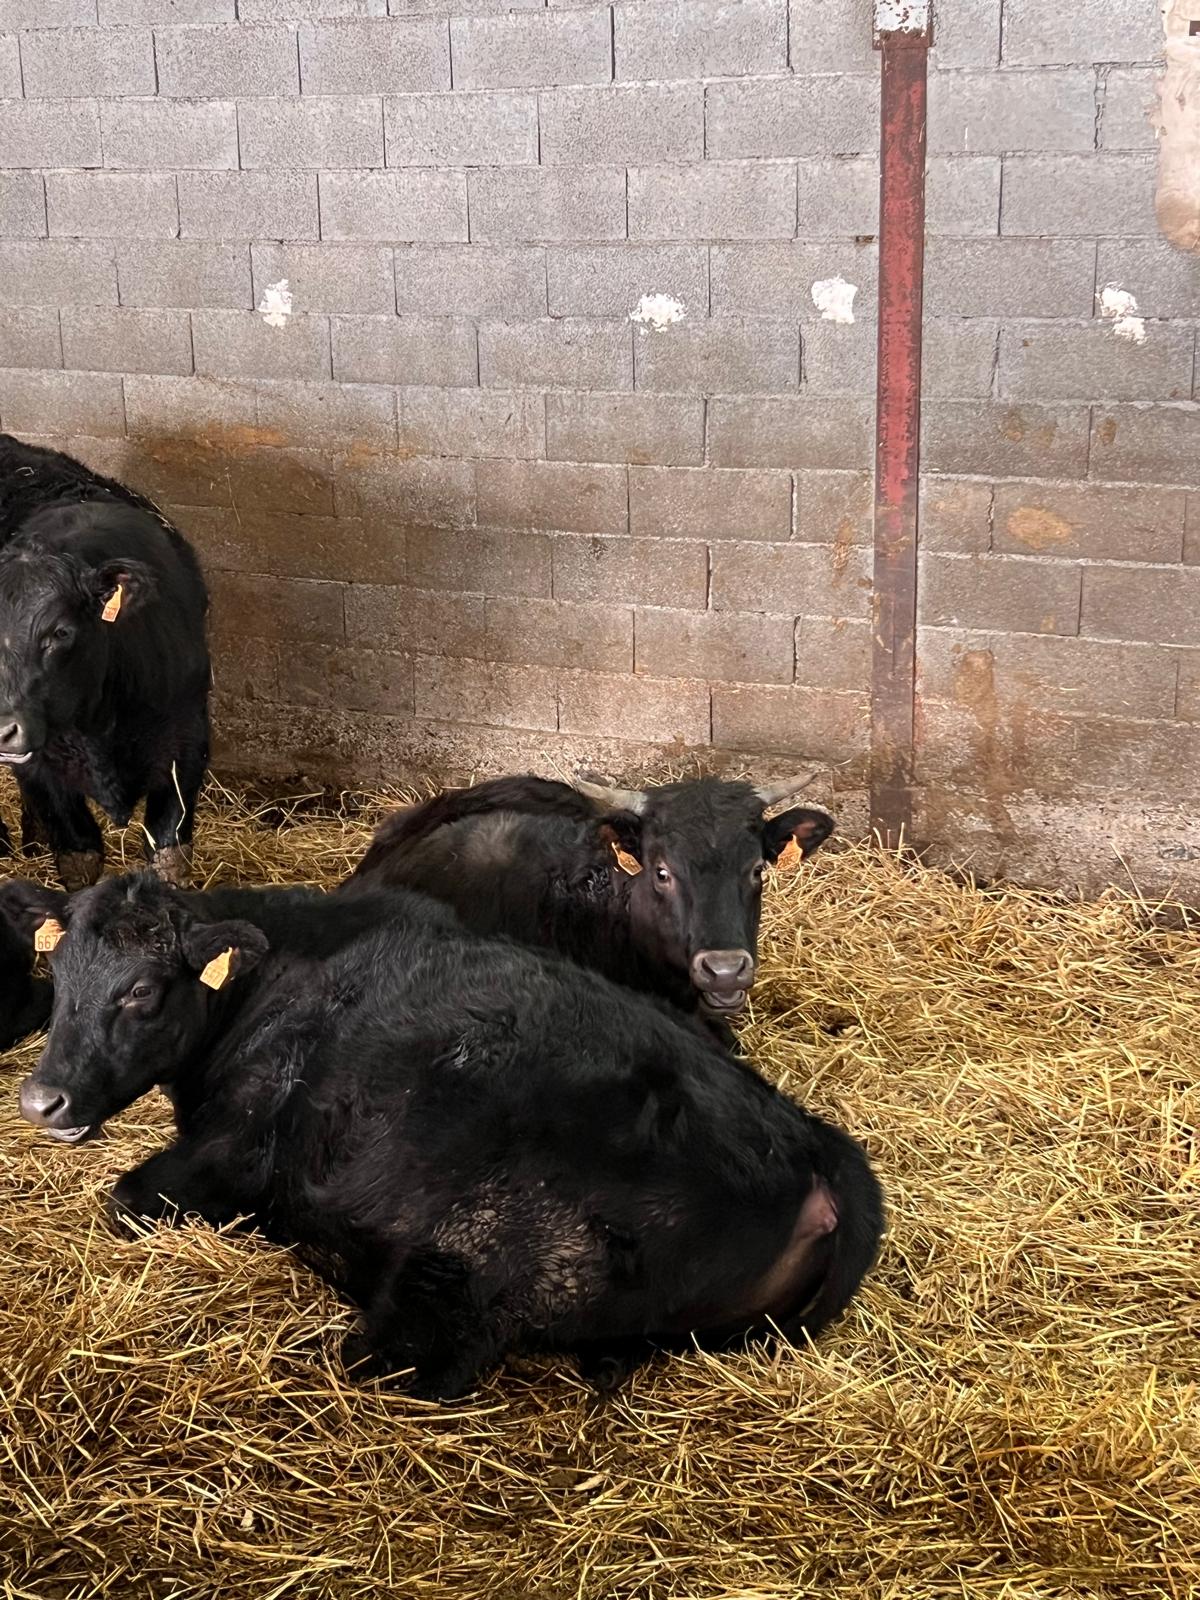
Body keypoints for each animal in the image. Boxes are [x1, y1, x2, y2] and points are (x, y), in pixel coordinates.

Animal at [0, 434, 210, 891]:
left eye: (61, 632)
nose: (2, 728)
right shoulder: (43, 771)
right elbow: (80, 856)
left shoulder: (188, 741)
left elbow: (169, 851)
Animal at [12, 873, 883, 1402]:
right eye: (57, 977)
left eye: (141, 991)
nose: (41, 1100)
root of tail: (817, 1147)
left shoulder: (236, 1146)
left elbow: (129, 1196)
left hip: (470, 1264)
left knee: (409, 1357)